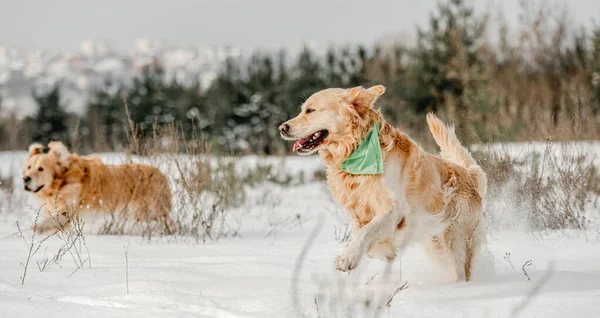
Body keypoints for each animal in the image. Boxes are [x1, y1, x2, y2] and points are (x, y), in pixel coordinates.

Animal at [21, 142, 171, 234]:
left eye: (41, 169)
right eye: (29, 167)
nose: (25, 179)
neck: (63, 181)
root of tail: (161, 174)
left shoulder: (69, 211)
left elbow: (51, 221)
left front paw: (36, 227)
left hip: (146, 211)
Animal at [282, 85, 488, 282]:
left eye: (310, 110)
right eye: (302, 110)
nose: (282, 128)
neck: (355, 151)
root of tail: (471, 175)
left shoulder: (395, 209)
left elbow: (368, 231)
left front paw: (349, 257)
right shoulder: (359, 212)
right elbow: (363, 233)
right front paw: (376, 251)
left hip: (455, 242)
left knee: (461, 272)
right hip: (435, 242)